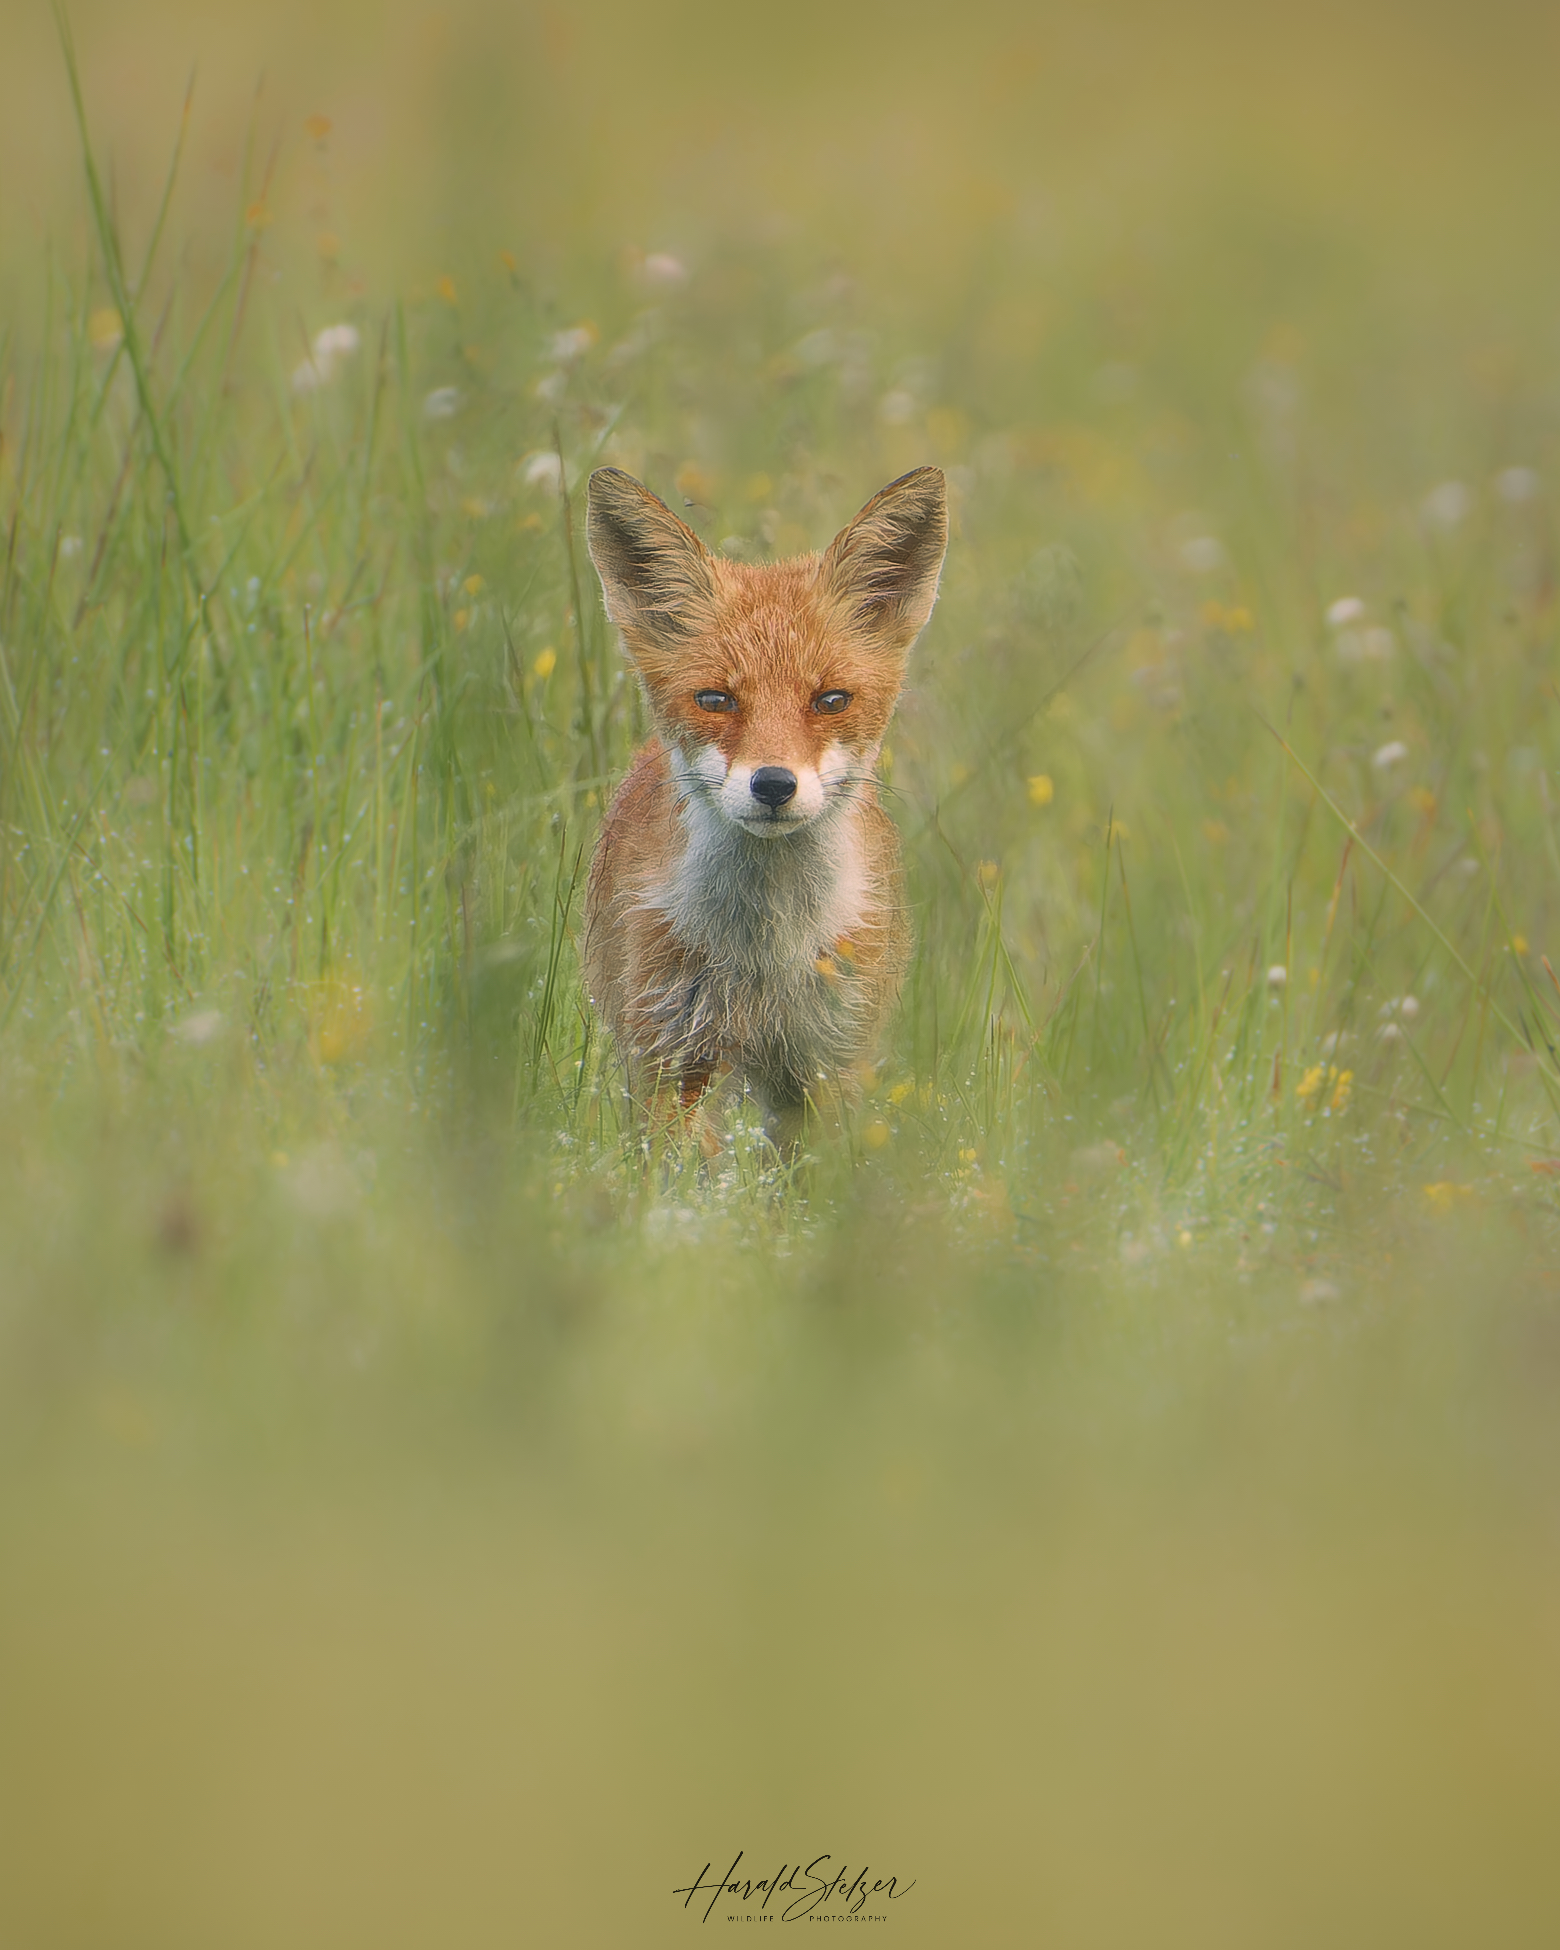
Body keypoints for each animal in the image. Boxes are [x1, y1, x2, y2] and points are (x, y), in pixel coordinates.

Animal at [585, 464, 951, 1146]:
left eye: (831, 700)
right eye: (715, 699)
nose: (774, 784)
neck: (767, 950)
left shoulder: (829, 1065)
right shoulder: (674, 1055)